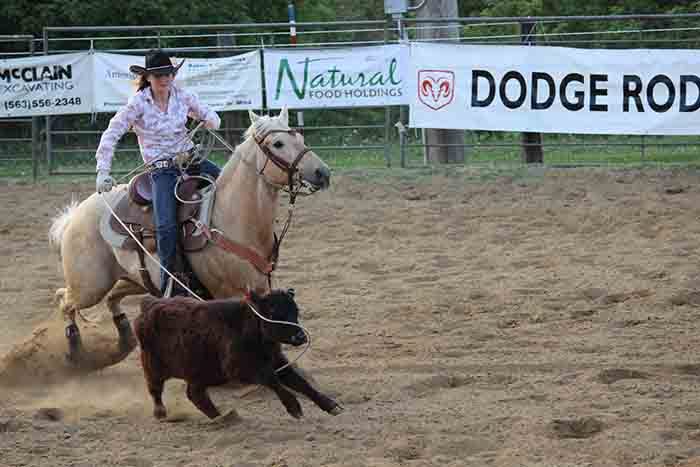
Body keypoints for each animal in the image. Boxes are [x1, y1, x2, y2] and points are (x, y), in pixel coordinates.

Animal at [48, 107, 331, 367]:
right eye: (278, 143)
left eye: (300, 137)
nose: (323, 173)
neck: (232, 217)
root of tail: (74, 216)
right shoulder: (228, 294)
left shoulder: (260, 288)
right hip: (90, 286)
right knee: (64, 300)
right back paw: (75, 350)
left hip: (132, 278)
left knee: (109, 298)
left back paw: (124, 341)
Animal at [134, 289, 344, 420]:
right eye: (273, 312)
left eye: (295, 310)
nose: (300, 336)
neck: (248, 327)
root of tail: (150, 305)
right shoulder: (239, 369)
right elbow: (271, 379)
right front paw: (294, 408)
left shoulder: (277, 361)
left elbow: (300, 383)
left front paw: (330, 405)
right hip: (152, 365)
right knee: (155, 390)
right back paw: (160, 413)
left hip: (201, 373)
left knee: (195, 394)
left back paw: (220, 417)